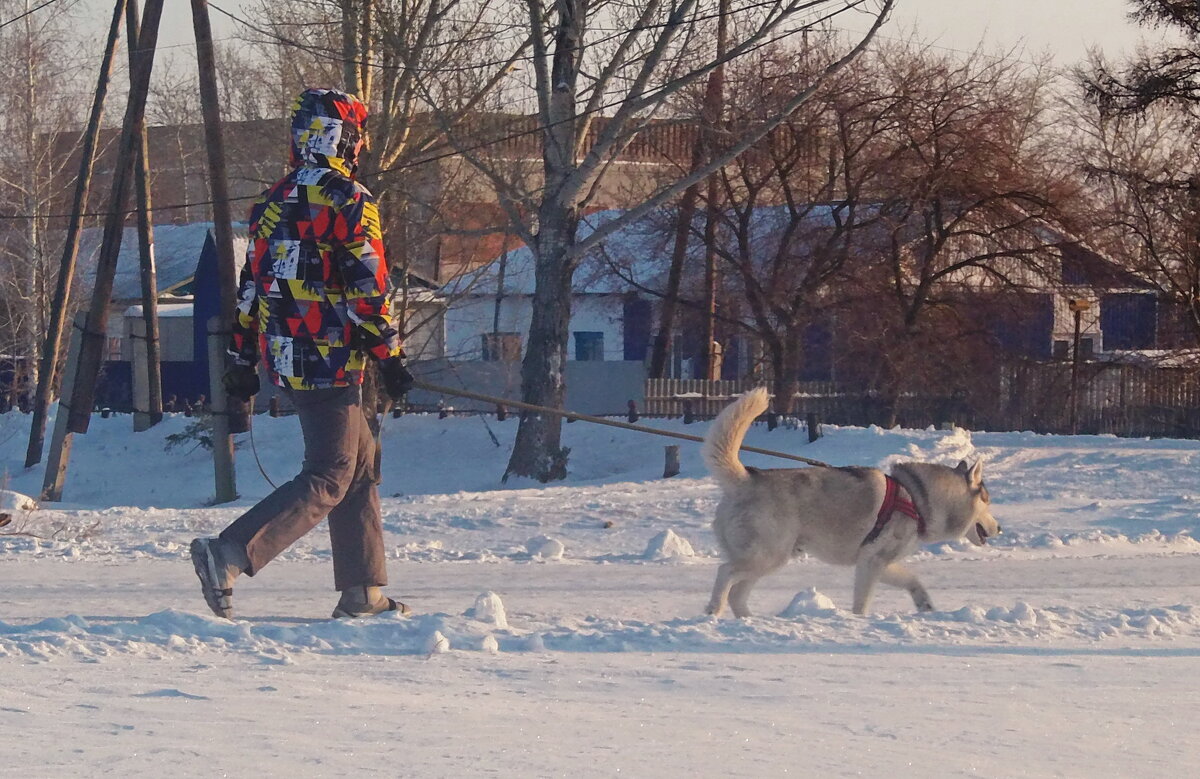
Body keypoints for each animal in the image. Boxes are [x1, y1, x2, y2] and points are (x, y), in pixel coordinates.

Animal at [700, 386, 998, 614]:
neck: (916, 497)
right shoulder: (871, 561)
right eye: (988, 502)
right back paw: (714, 610)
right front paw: (858, 621)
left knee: (737, 594)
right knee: (725, 573)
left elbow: (913, 581)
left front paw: (926, 607)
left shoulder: (878, 562)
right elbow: (862, 604)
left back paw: (748, 620)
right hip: (767, 555)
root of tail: (745, 478)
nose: (999, 528)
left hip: (770, 559)